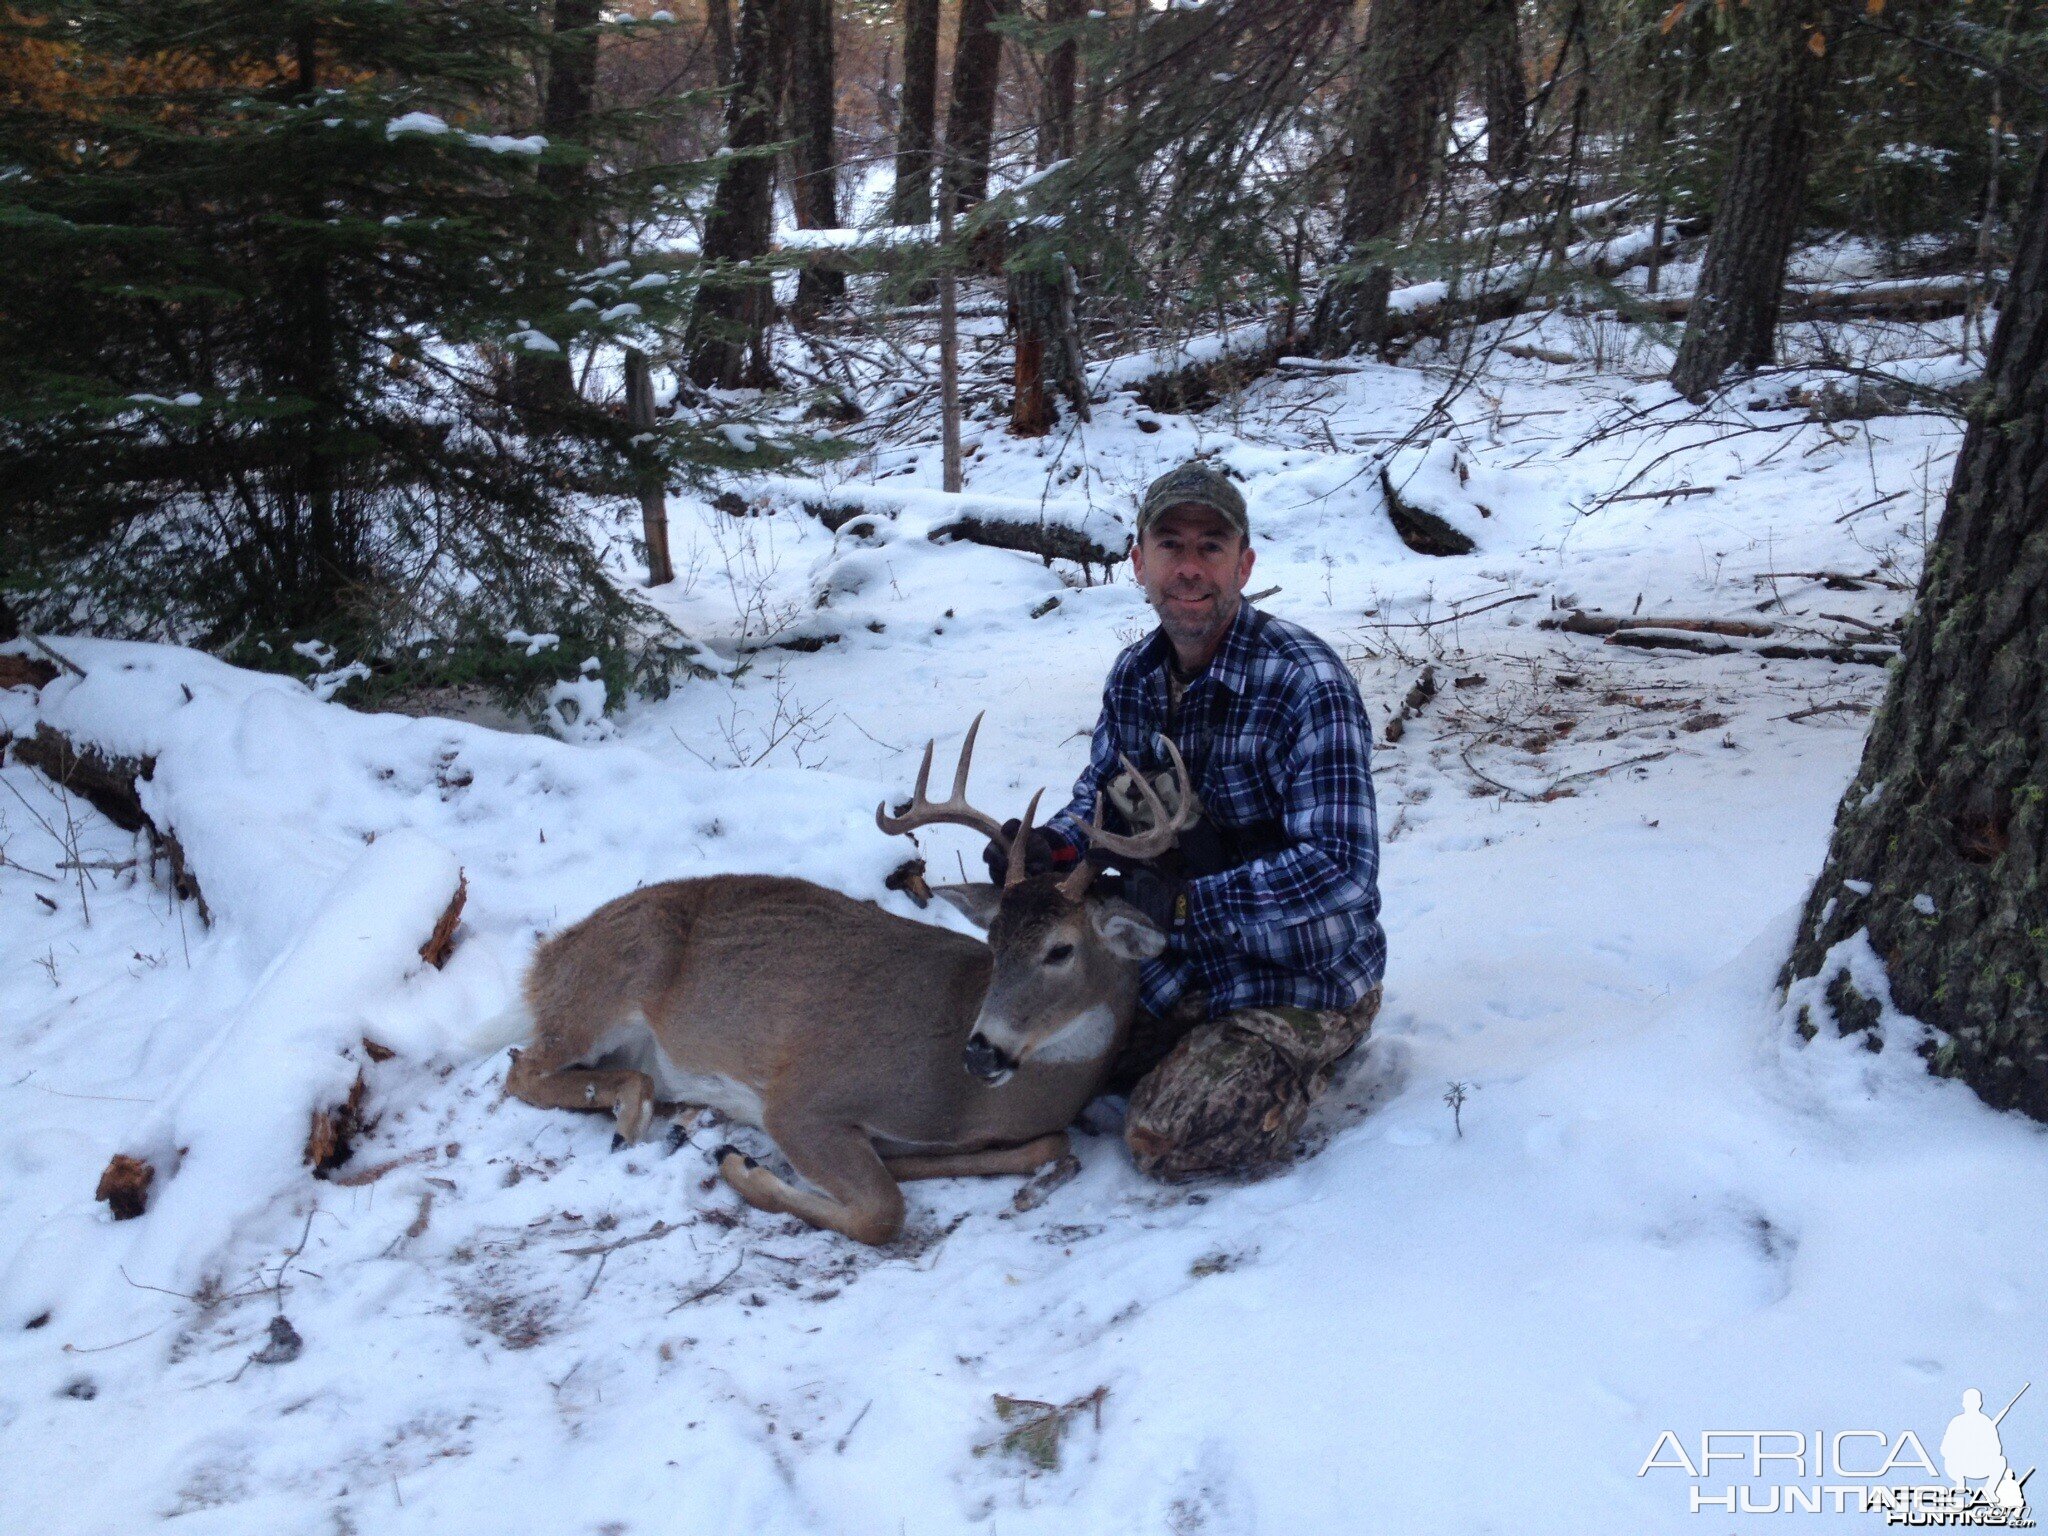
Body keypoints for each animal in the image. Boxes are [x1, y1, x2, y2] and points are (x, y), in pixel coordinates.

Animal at [501, 720, 1196, 1253]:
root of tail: (548, 956)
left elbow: (1047, 1144)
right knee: (522, 1068)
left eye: (1061, 949)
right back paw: (634, 1115)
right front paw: (740, 1164)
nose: (981, 1050)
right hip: (611, 983)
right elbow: (882, 1212)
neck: (969, 1101)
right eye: (994, 942)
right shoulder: (804, 1097)